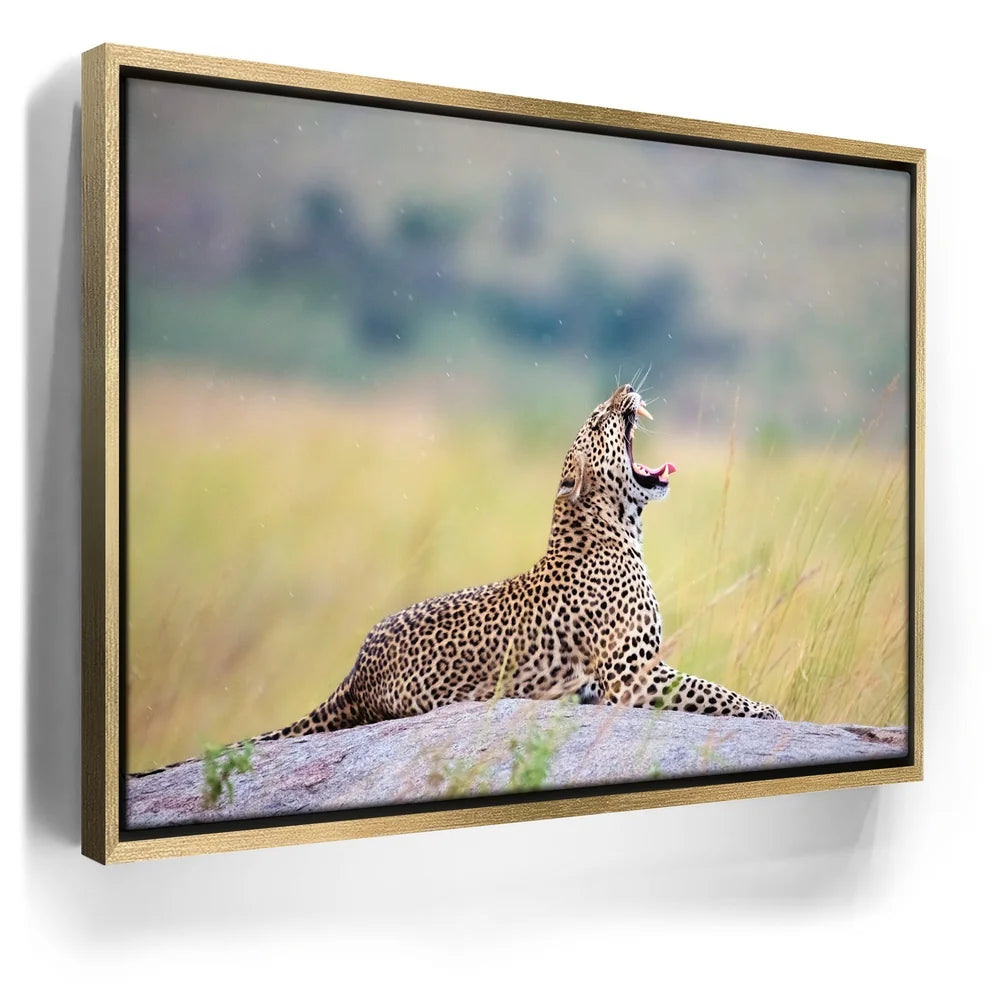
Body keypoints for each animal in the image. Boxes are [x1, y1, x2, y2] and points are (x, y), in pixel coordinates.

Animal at [135, 384, 780, 776]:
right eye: (600, 421)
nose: (625, 389)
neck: (617, 528)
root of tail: (355, 668)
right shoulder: (633, 675)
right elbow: (713, 693)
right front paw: (770, 714)